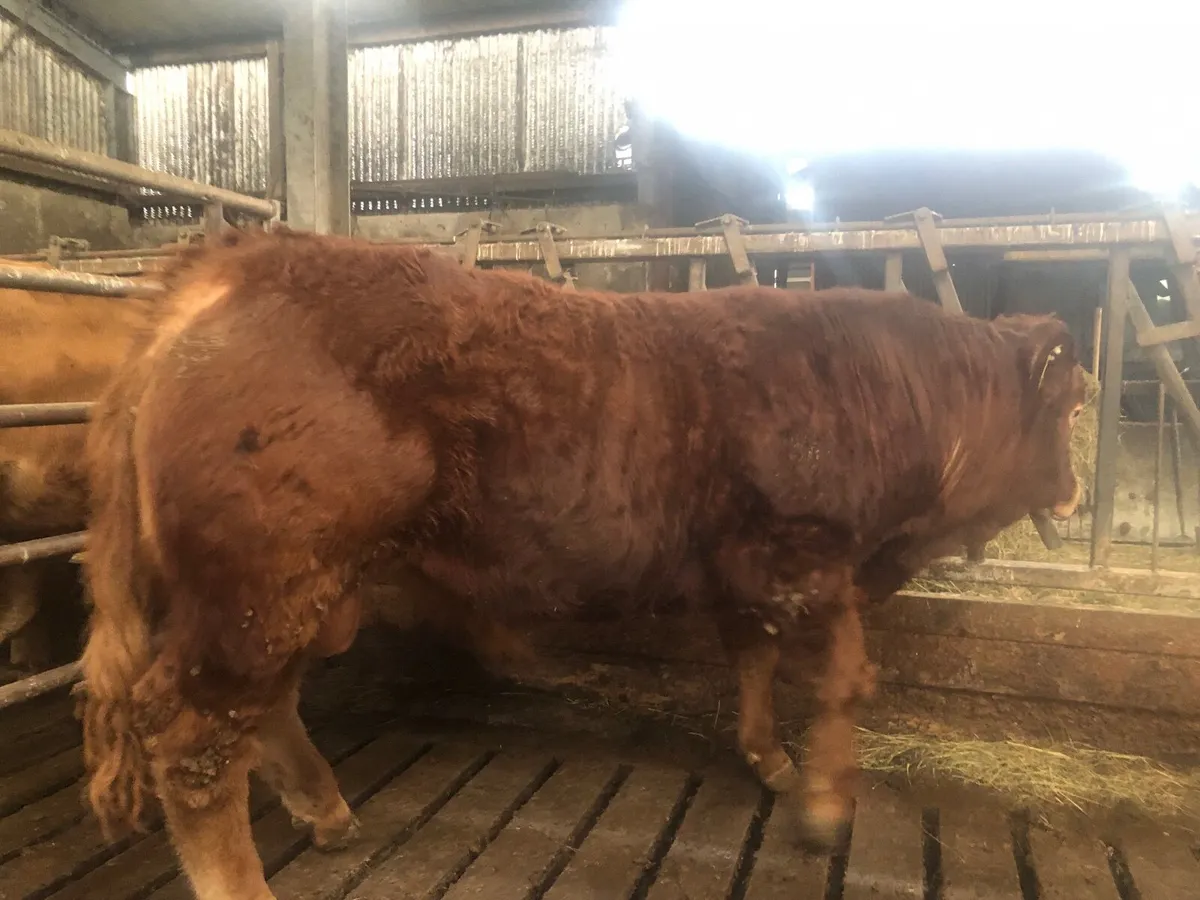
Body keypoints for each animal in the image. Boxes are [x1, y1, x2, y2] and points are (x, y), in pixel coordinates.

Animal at [77, 228, 1084, 900]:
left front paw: (768, 758)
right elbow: (845, 676)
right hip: (265, 587)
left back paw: (325, 810)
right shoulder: (806, 557)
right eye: (1073, 408)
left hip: (296, 596)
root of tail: (241, 258)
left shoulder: (750, 574)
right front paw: (827, 806)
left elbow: (755, 661)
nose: (1076, 493)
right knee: (195, 746)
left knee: (265, 710)